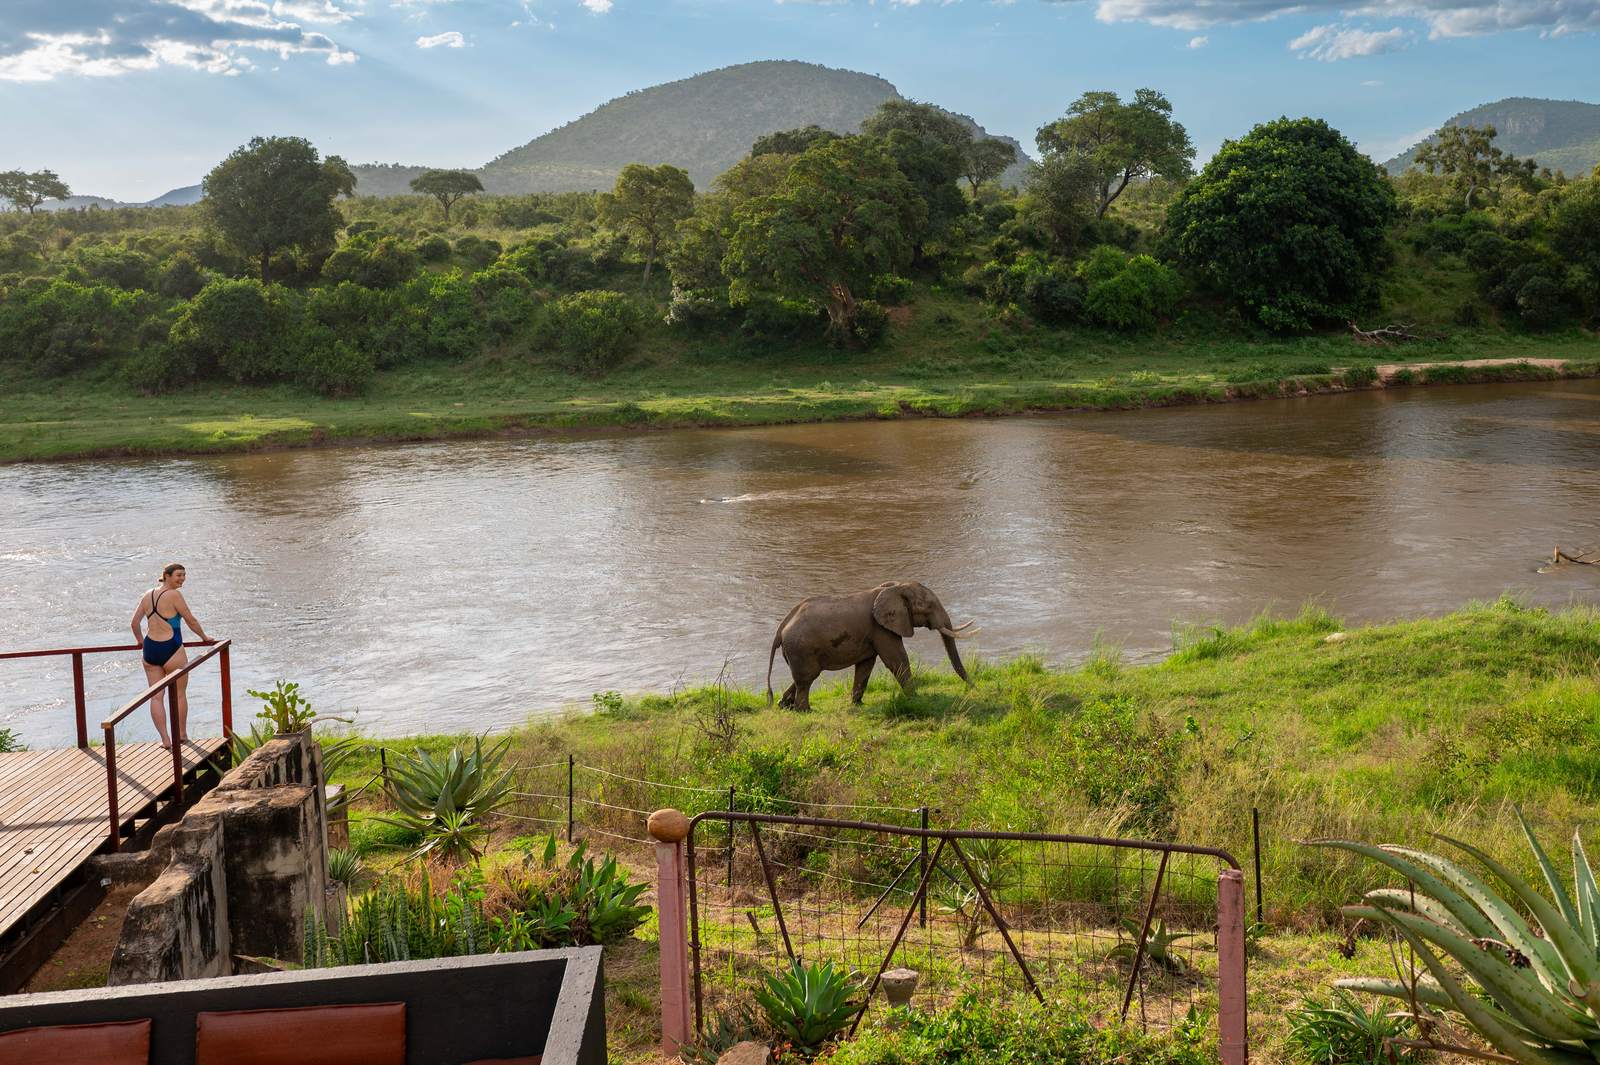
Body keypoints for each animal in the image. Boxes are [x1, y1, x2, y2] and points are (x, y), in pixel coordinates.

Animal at [765, 581, 977, 712]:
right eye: (929, 607)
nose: (973, 687)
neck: (895, 587)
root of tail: (780, 629)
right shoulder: (881, 629)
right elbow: (897, 660)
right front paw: (916, 699)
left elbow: (866, 665)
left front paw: (857, 703)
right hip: (801, 648)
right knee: (807, 678)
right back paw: (806, 711)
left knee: (803, 677)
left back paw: (784, 705)